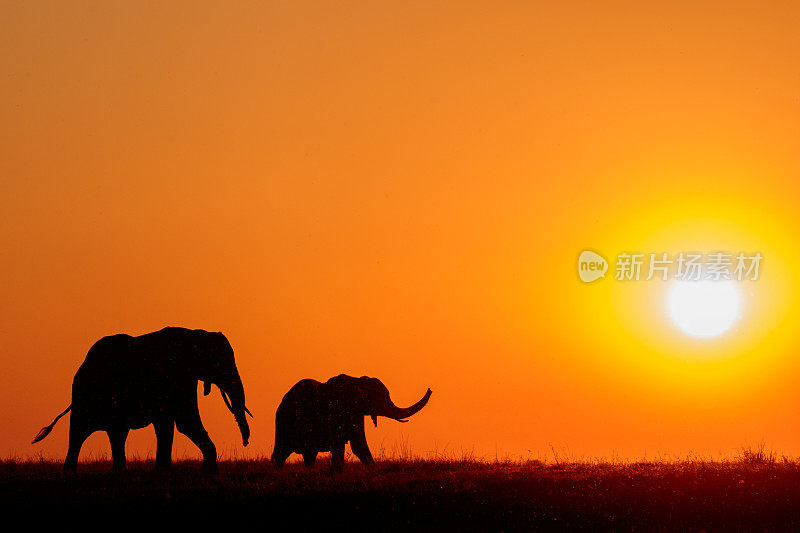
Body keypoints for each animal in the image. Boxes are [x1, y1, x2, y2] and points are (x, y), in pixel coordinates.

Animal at [32, 326, 250, 472]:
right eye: (220, 364)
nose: (246, 442)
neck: (196, 334)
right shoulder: (173, 376)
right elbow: (185, 422)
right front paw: (207, 471)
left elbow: (169, 424)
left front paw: (165, 472)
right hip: (85, 393)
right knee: (81, 431)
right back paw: (72, 473)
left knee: (116, 433)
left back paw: (118, 473)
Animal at [272, 374, 432, 470]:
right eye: (382, 398)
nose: (430, 389)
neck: (358, 381)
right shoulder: (338, 410)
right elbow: (346, 444)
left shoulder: (356, 413)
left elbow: (358, 444)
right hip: (283, 423)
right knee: (281, 452)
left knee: (309, 454)